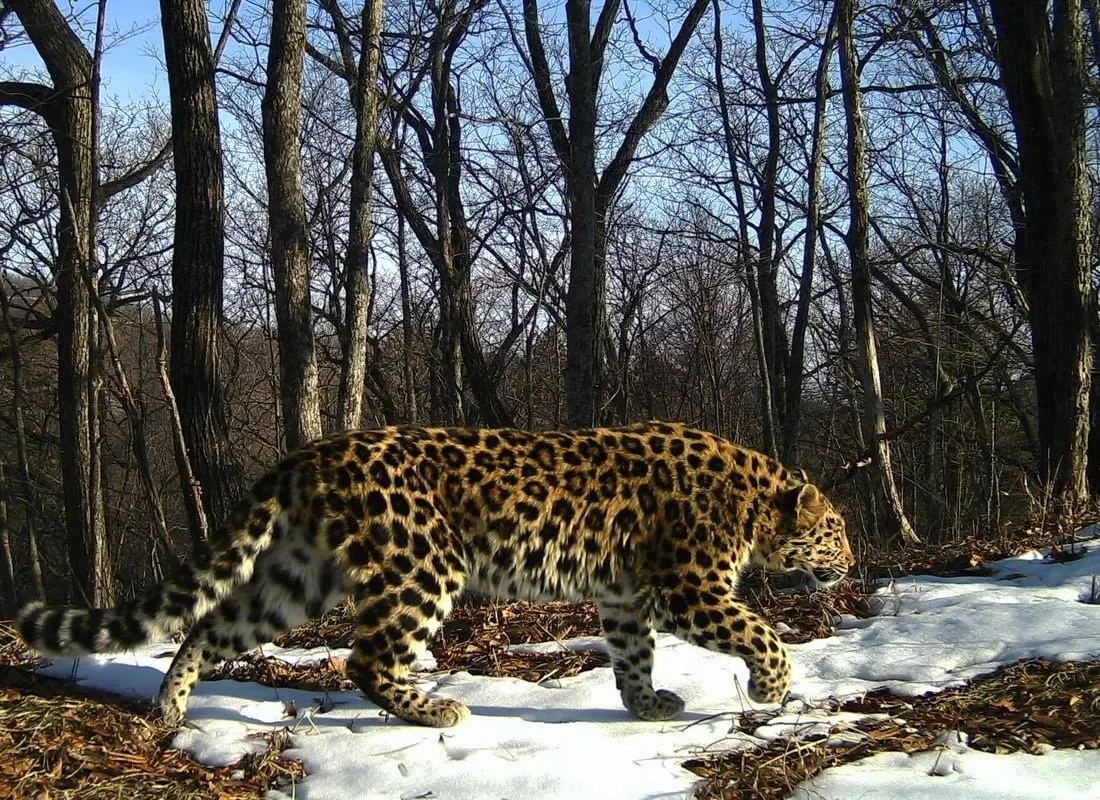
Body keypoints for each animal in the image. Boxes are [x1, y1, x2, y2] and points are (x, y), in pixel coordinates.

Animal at [16, 421, 853, 728]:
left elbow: (632, 655)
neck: (753, 502)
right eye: (837, 531)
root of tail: (307, 455)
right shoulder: (689, 588)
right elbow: (761, 631)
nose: (851, 561)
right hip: (424, 562)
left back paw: (170, 706)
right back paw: (434, 710)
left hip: (298, 577)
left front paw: (647, 706)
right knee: (365, 658)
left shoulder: (623, 598)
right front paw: (773, 688)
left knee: (210, 627)